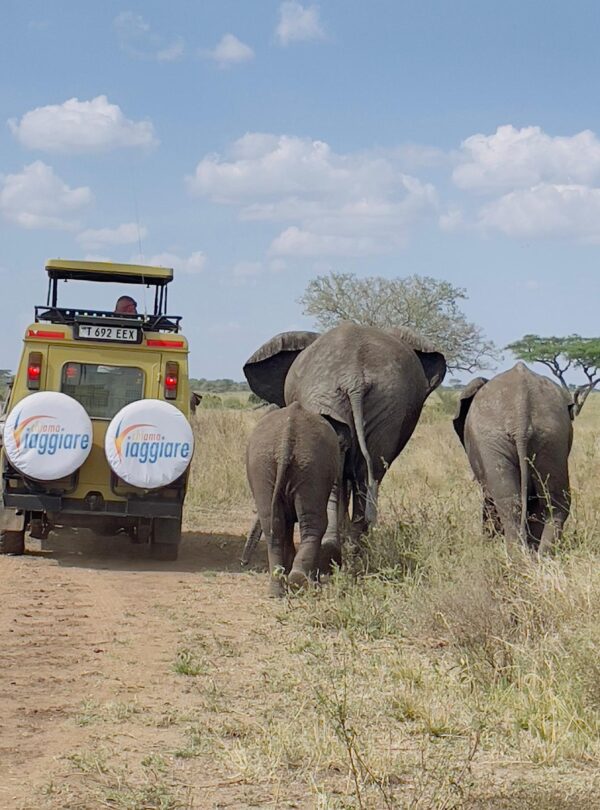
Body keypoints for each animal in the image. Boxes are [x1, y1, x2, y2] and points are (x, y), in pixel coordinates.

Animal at [244, 322, 447, 567]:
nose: (244, 563)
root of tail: (354, 378)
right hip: (388, 404)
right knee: (368, 473)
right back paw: (352, 552)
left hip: (337, 396)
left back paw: (336, 552)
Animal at [244, 402, 342, 596]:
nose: (243, 563)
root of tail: (286, 439)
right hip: (310, 466)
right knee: (314, 523)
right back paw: (299, 581)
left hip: (265, 465)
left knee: (273, 524)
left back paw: (278, 589)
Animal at [453, 362, 573, 553]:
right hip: (552, 436)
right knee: (554, 502)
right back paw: (541, 556)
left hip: (492, 439)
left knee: (508, 503)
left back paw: (518, 557)